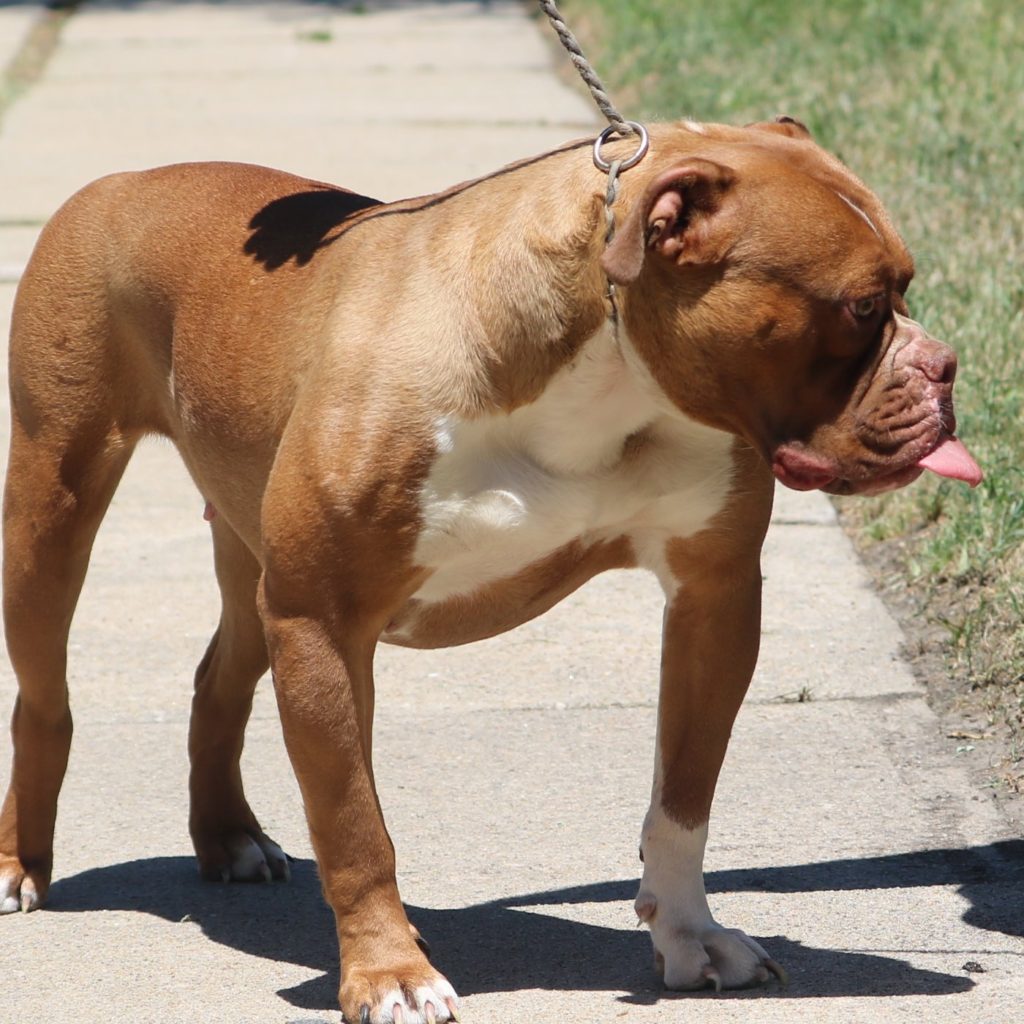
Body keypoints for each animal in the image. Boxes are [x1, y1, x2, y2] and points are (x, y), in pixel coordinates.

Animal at [0, 119, 978, 1024]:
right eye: (861, 307)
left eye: (906, 286)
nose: (945, 369)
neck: (601, 368)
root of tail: (124, 182)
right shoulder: (322, 621)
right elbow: (355, 823)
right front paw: (389, 973)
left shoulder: (715, 595)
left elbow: (683, 797)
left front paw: (690, 935)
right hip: (55, 509)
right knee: (45, 696)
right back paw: (21, 863)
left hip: (249, 558)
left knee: (220, 676)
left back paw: (228, 838)